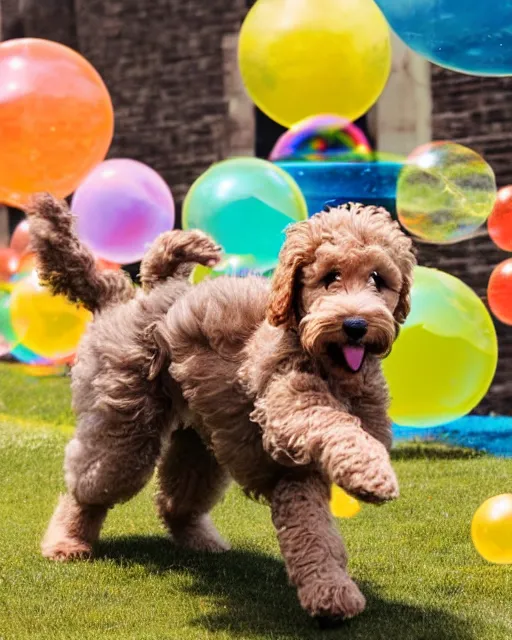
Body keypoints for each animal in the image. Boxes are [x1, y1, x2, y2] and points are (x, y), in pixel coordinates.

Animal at [27, 194, 416, 624]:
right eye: (330, 276)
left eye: (378, 279)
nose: (355, 325)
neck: (329, 367)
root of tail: (129, 299)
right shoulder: (288, 415)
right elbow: (333, 430)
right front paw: (373, 477)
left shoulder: (297, 474)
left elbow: (315, 535)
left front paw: (331, 593)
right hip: (125, 427)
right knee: (88, 488)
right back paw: (67, 541)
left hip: (200, 441)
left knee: (176, 499)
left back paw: (201, 540)